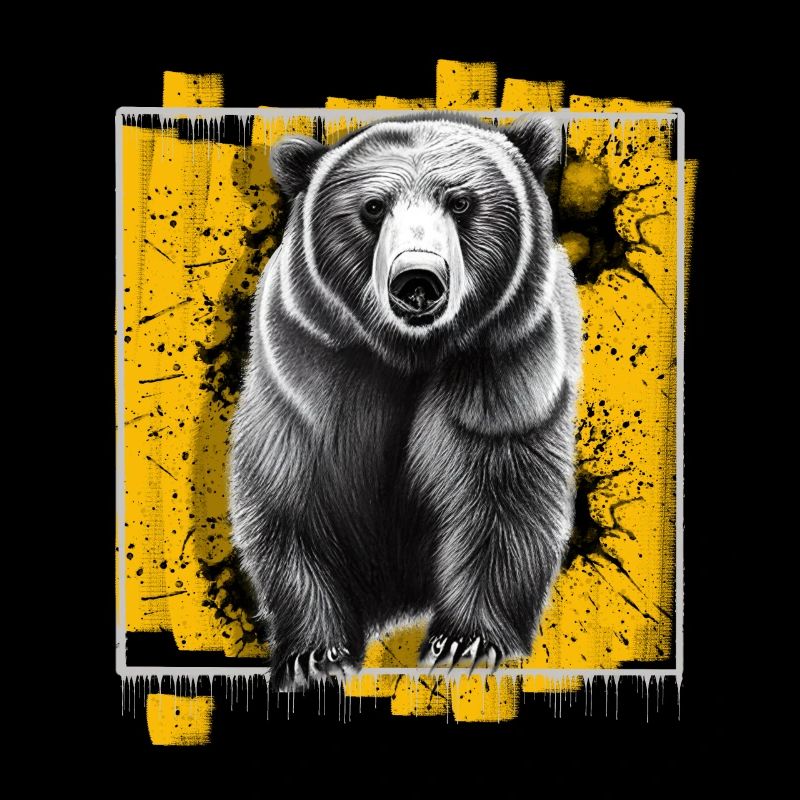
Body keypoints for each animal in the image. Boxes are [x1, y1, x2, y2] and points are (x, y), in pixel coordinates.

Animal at [230, 112, 582, 689]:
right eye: (374, 207)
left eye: (460, 201)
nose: (418, 278)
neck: (410, 354)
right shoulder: (306, 374)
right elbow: (293, 502)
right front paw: (314, 655)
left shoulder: (504, 372)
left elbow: (502, 499)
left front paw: (464, 643)